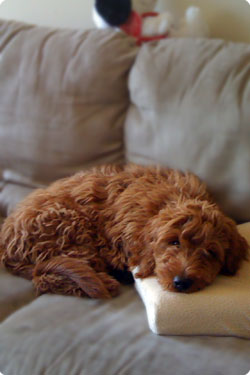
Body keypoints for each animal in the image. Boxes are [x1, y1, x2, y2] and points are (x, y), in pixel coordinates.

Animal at [0, 164, 248, 300]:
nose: (181, 282)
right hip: (71, 225)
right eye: (174, 242)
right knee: (44, 278)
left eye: (211, 252)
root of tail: (7, 244)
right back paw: (105, 281)